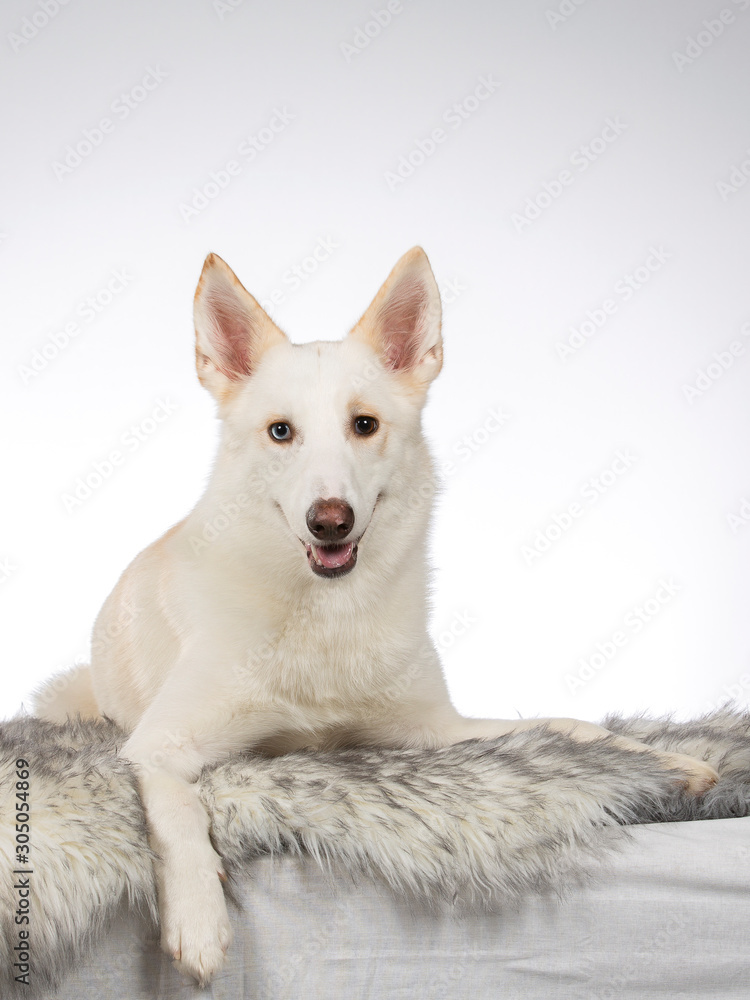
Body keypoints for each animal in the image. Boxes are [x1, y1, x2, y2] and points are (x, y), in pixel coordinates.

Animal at [36, 250, 724, 984]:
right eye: (281, 432)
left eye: (363, 425)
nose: (329, 520)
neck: (327, 618)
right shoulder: (157, 747)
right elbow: (178, 813)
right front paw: (198, 921)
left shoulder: (435, 731)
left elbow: (568, 727)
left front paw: (666, 759)